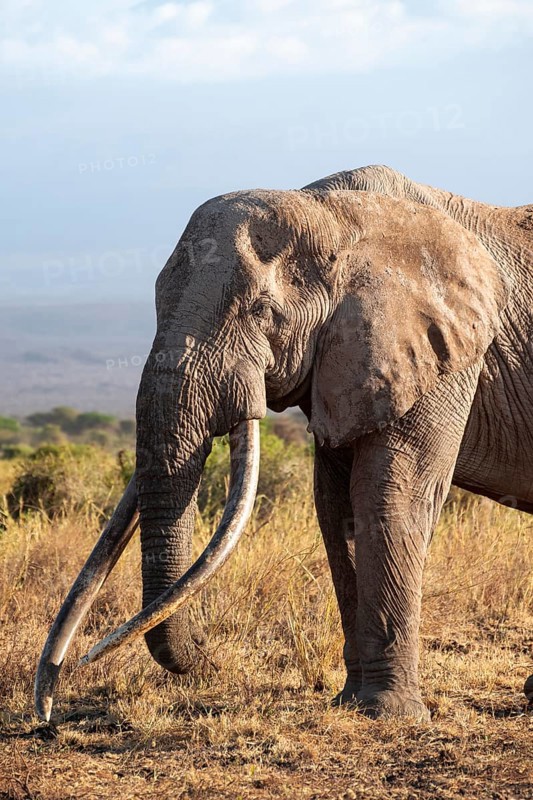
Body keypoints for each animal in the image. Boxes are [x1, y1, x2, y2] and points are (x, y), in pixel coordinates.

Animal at [35, 164, 533, 722]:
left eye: (261, 311)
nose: (210, 654)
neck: (333, 211)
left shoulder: (441, 350)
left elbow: (389, 493)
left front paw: (388, 714)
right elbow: (336, 504)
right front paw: (351, 702)